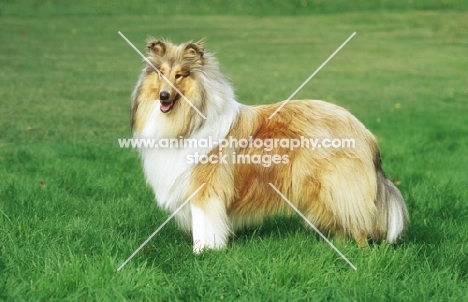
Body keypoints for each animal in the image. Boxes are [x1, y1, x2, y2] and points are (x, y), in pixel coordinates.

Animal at [130, 39, 408, 254]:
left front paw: (202, 253)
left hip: (339, 187)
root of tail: (363, 130)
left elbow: (204, 226)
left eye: (180, 75)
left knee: (359, 223)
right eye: (160, 73)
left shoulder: (205, 189)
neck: (186, 121)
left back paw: (359, 253)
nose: (164, 96)